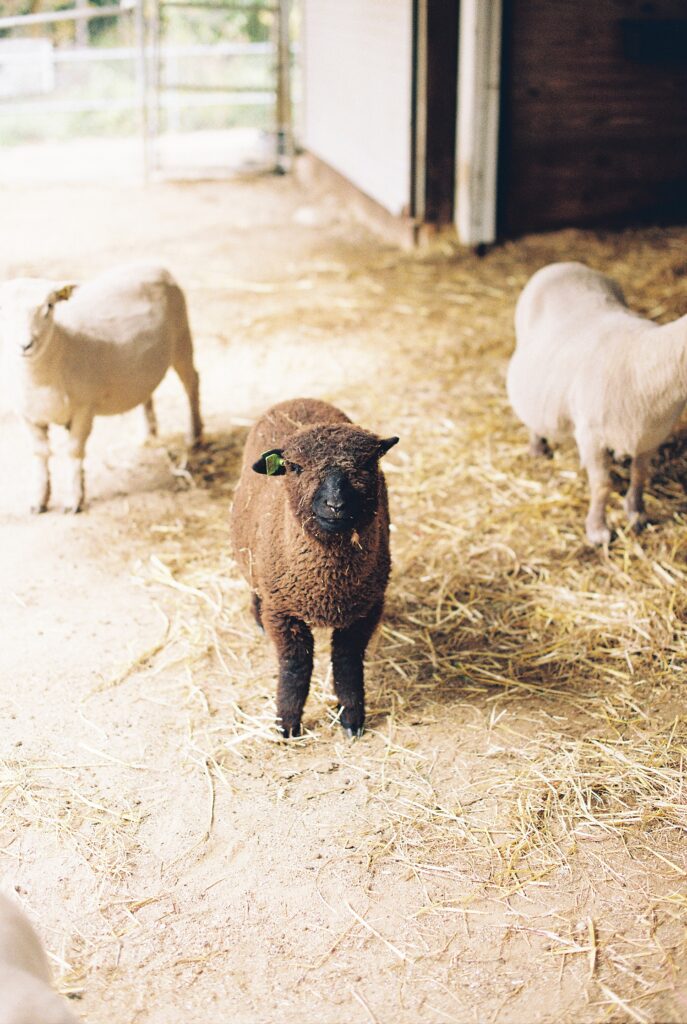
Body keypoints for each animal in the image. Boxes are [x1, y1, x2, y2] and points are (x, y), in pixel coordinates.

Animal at [1, 264, 202, 512]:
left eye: (49, 306)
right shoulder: (28, 416)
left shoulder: (84, 408)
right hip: (144, 364)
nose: (25, 345)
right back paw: (148, 434)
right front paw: (38, 500)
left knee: (192, 382)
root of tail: (155, 266)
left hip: (182, 337)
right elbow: (40, 454)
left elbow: (74, 451)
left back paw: (194, 435)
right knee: (147, 392)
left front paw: (74, 500)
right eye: (2, 310)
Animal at [232, 395, 397, 741]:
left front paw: (352, 719)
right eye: (294, 467)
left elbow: (347, 664)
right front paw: (287, 724)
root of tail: (299, 399)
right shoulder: (282, 612)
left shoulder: (365, 610)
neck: (328, 586)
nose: (335, 505)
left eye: (366, 464)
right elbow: (295, 666)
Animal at [505, 262, 687, 544]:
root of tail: (564, 264)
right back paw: (537, 448)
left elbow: (640, 475)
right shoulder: (592, 436)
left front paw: (637, 514)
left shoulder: (652, 435)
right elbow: (602, 485)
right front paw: (598, 530)